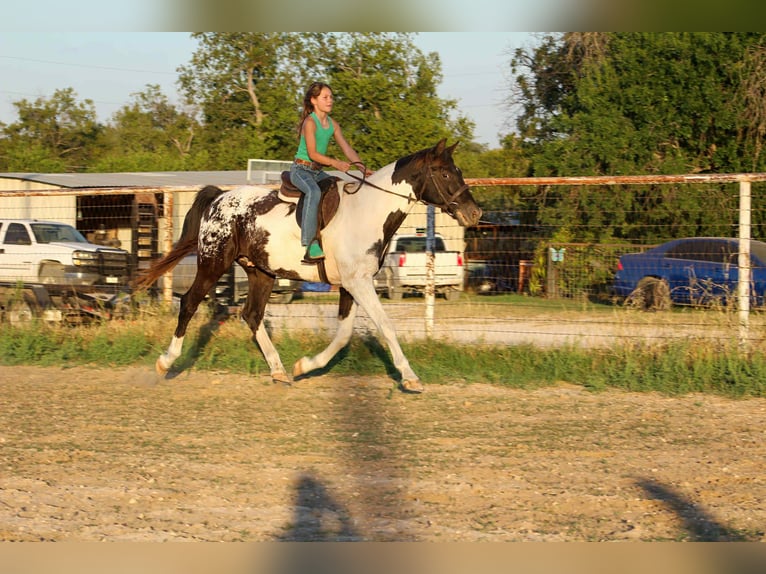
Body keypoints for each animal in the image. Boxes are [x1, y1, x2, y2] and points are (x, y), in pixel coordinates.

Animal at [134, 139, 482, 393]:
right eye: (445, 173)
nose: (474, 213)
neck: (368, 211)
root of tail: (219, 198)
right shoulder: (359, 284)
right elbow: (385, 325)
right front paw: (410, 377)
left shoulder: (350, 285)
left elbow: (343, 335)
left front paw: (305, 365)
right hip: (213, 263)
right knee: (189, 303)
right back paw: (166, 362)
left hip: (261, 272)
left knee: (252, 315)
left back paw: (279, 371)